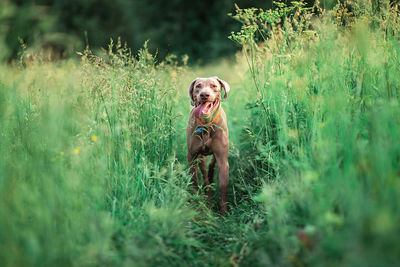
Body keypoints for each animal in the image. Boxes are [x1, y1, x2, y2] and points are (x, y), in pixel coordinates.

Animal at [186, 77, 230, 216]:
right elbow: (194, 181)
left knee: (211, 166)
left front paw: (224, 214)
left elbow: (223, 188)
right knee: (205, 174)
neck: (206, 124)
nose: (204, 95)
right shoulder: (192, 156)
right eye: (198, 86)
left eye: (214, 86)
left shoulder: (223, 160)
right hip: (201, 157)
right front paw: (197, 202)